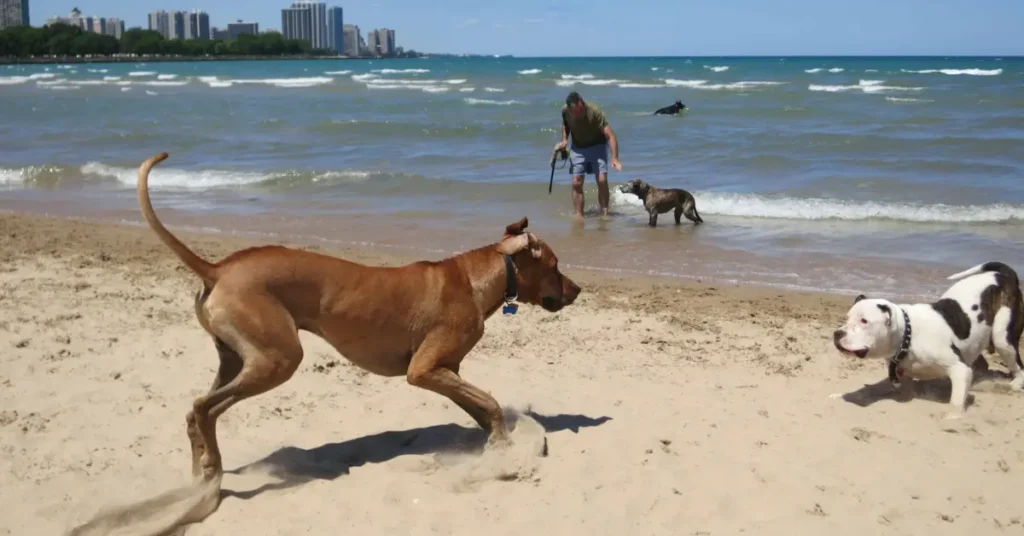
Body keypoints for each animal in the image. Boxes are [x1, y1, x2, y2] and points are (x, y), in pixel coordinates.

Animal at [135, 151, 581, 485]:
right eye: (556, 265)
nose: (577, 290)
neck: (478, 278)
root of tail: (218, 268)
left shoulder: (446, 369)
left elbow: (482, 408)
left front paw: (498, 445)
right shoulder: (423, 370)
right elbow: (490, 402)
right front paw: (504, 451)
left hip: (237, 358)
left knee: (197, 412)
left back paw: (202, 472)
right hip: (277, 359)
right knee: (203, 408)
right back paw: (209, 469)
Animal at [835, 262, 1019, 422]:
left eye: (864, 321)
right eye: (846, 318)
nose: (837, 333)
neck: (908, 336)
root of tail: (1001, 275)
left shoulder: (960, 370)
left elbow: (956, 400)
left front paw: (952, 418)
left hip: (1002, 338)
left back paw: (1016, 384)